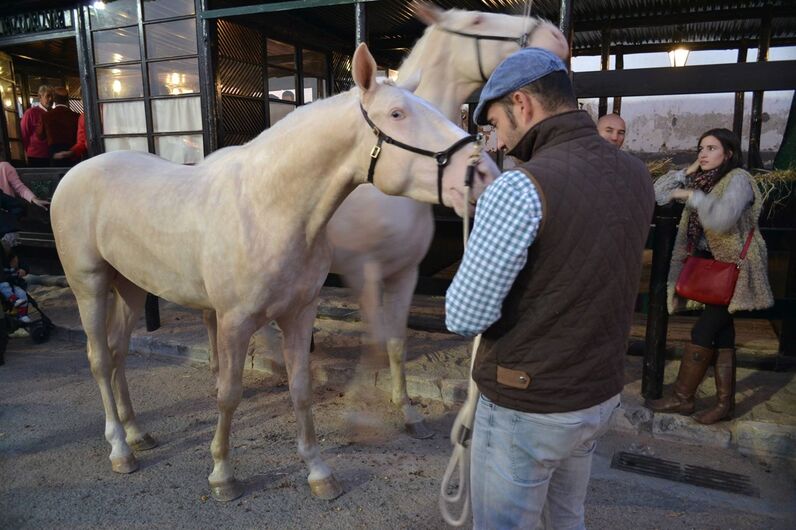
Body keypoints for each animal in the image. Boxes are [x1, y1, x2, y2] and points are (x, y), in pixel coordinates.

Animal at [50, 43, 496, 502]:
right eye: (396, 114)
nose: (482, 173)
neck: (269, 208)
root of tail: (77, 173)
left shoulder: (299, 313)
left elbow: (300, 389)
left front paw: (318, 471)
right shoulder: (234, 322)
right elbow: (229, 394)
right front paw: (222, 474)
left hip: (131, 286)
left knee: (119, 352)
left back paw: (137, 433)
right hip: (90, 285)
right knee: (100, 358)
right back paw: (120, 448)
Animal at [318, 4, 569, 437]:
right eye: (478, 20)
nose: (556, 38)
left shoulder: (405, 272)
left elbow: (395, 342)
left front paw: (406, 410)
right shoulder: (362, 271)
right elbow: (375, 339)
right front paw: (356, 415)